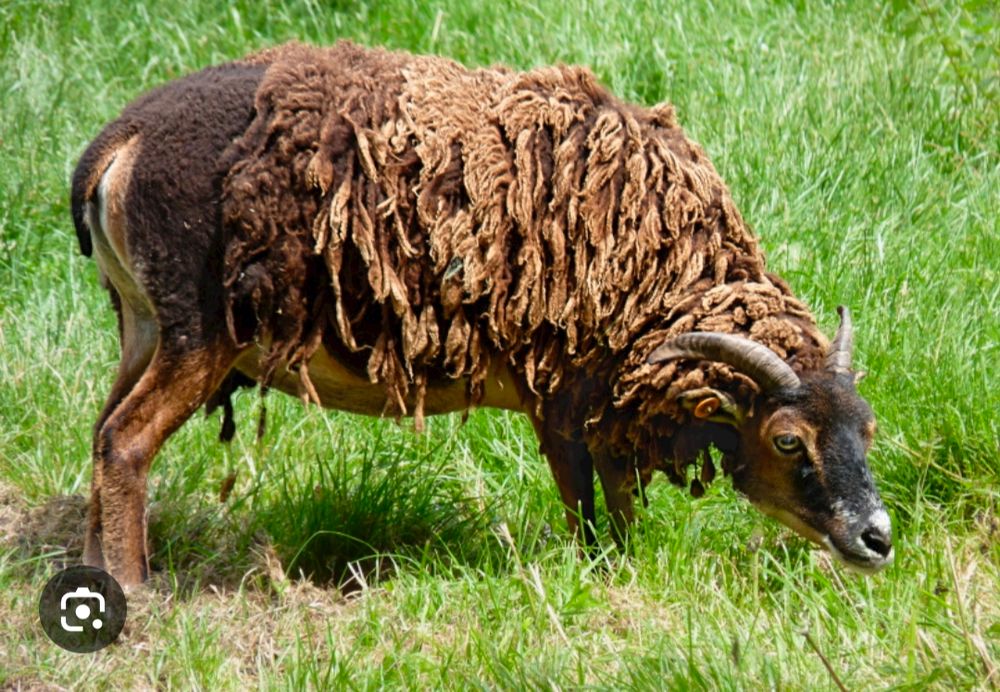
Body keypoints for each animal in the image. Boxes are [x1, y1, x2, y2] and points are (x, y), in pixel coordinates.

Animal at [71, 41, 893, 586]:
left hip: (143, 324)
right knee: (126, 440)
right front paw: (602, 575)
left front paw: (627, 568)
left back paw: (93, 576)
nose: (877, 538)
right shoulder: (564, 392)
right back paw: (139, 591)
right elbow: (587, 499)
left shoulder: (607, 398)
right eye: (787, 441)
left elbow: (619, 500)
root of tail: (119, 144)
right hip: (198, 329)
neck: (663, 274)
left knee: (100, 431)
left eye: (868, 429)